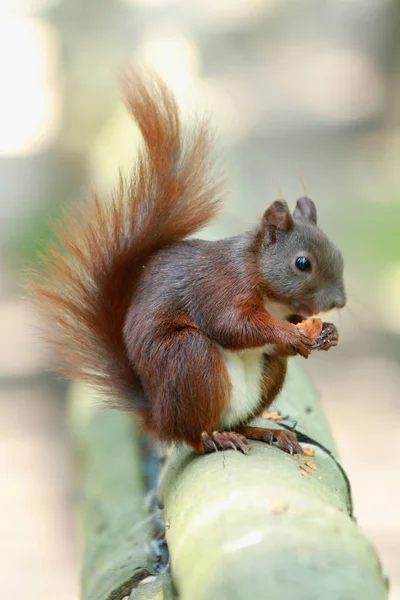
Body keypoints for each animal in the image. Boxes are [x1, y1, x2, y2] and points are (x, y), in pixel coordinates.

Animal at [31, 71, 346, 454]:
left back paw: (263, 431)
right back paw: (215, 437)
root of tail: (159, 417)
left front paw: (327, 333)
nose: (338, 302)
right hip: (188, 358)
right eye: (302, 263)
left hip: (264, 374)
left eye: (338, 254)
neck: (261, 280)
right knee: (194, 435)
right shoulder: (220, 287)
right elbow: (233, 325)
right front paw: (290, 333)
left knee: (241, 417)